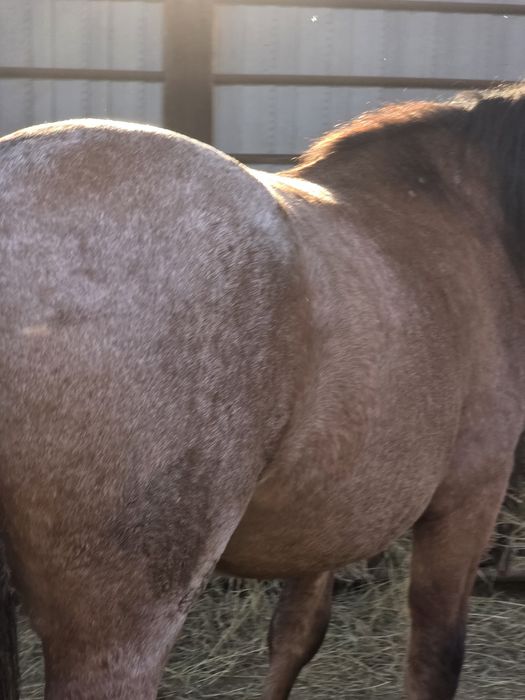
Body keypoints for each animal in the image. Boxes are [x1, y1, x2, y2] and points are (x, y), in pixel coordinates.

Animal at [1, 82, 525, 700]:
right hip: (120, 632)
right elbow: (435, 657)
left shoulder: (329, 515)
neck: (466, 212)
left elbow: (296, 634)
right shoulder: (467, 500)